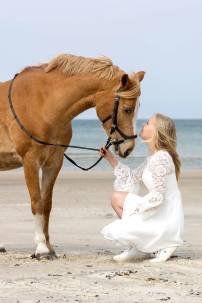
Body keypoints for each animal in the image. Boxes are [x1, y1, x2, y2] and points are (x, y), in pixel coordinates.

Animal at [0, 54, 145, 258]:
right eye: (127, 109)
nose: (128, 148)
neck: (43, 105)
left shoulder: (54, 163)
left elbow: (47, 204)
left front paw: (50, 248)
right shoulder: (30, 161)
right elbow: (36, 202)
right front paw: (41, 247)